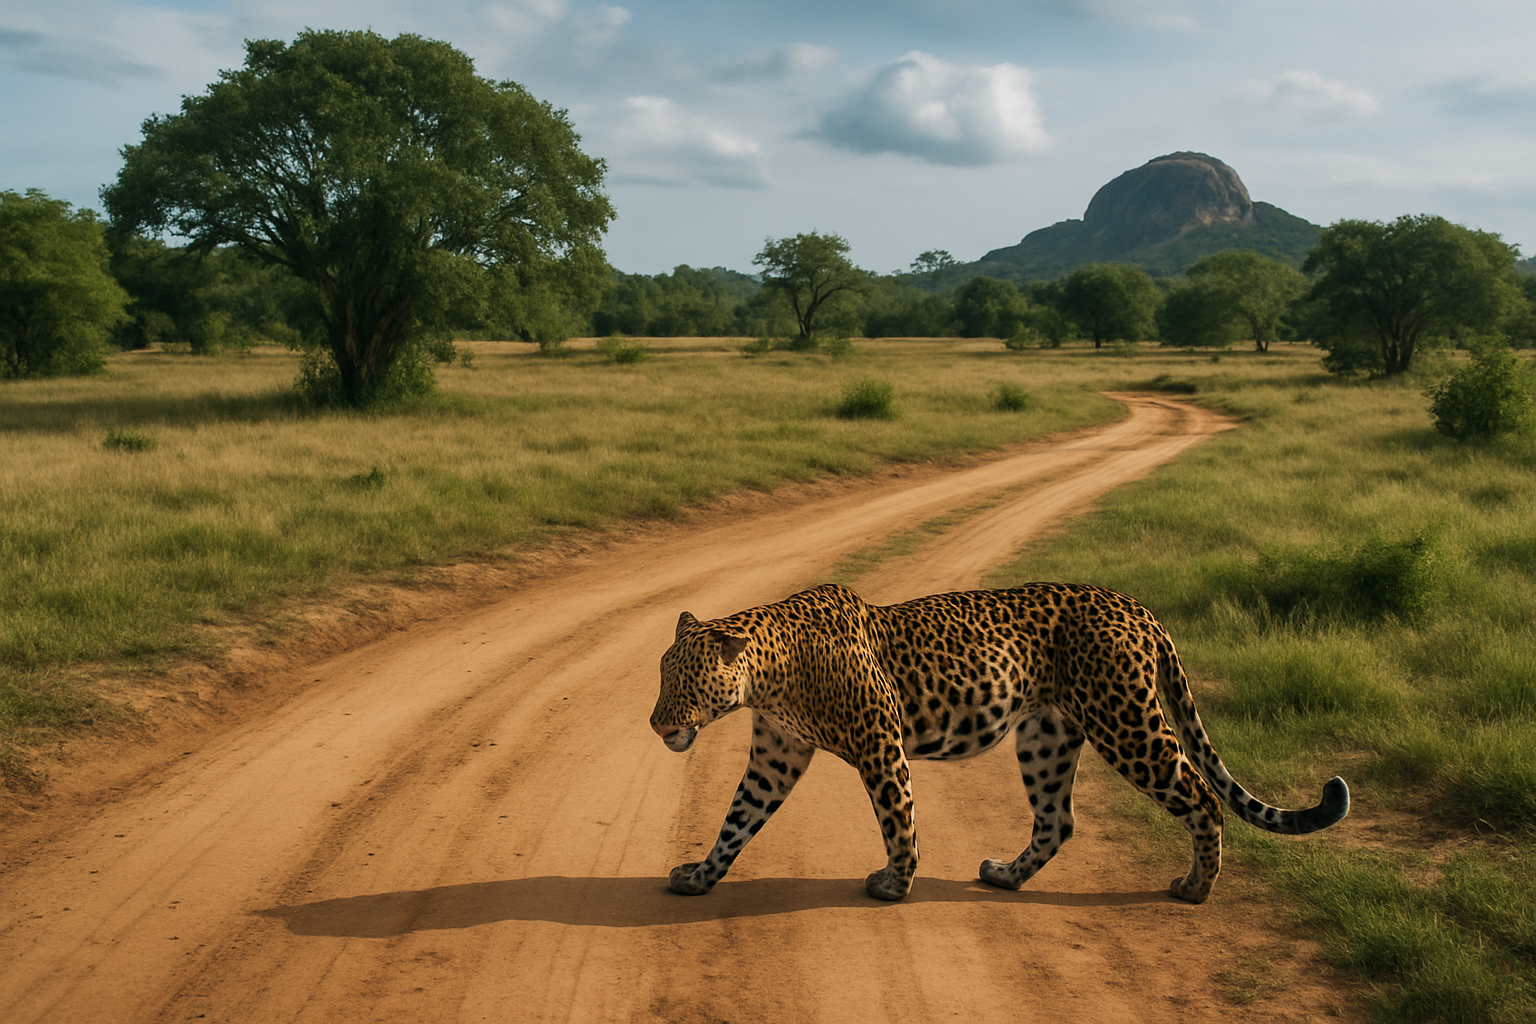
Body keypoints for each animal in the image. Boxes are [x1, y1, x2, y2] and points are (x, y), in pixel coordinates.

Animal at [649, 582, 1349, 903]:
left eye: (683, 680)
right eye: (662, 675)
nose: (656, 725)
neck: (771, 675)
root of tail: (1136, 605)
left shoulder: (880, 744)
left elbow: (898, 819)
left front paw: (895, 883)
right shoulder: (777, 754)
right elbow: (737, 819)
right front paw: (701, 876)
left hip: (1127, 723)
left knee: (1202, 795)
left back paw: (1195, 887)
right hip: (1047, 735)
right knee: (1057, 820)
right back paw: (1008, 876)